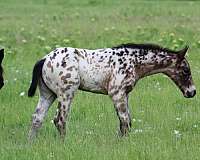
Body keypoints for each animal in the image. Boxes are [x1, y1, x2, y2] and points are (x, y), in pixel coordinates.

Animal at [27, 43, 196, 139]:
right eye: (186, 70)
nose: (192, 92)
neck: (133, 61)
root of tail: (44, 59)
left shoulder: (125, 94)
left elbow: (127, 121)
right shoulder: (116, 93)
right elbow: (125, 121)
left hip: (48, 94)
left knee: (37, 118)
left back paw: (31, 143)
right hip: (66, 93)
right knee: (59, 120)